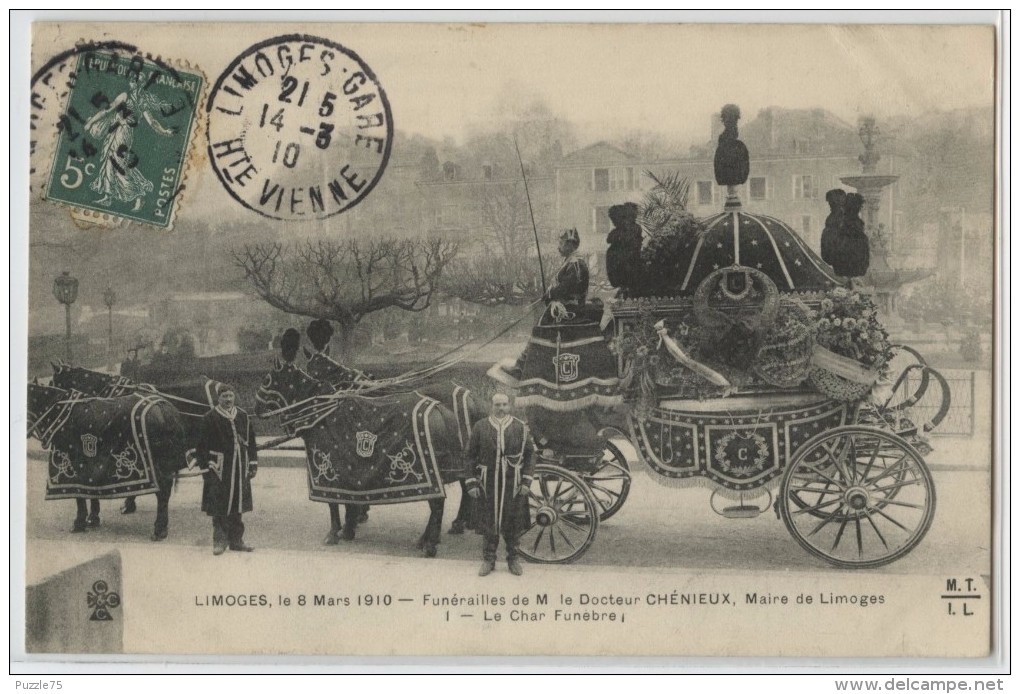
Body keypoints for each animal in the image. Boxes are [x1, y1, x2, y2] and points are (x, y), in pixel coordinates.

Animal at [27, 381, 190, 538]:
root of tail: (165, 409)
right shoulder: (92, 465)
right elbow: (91, 490)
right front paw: (92, 518)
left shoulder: (75, 463)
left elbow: (79, 495)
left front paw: (79, 523)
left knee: (162, 493)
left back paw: (159, 529)